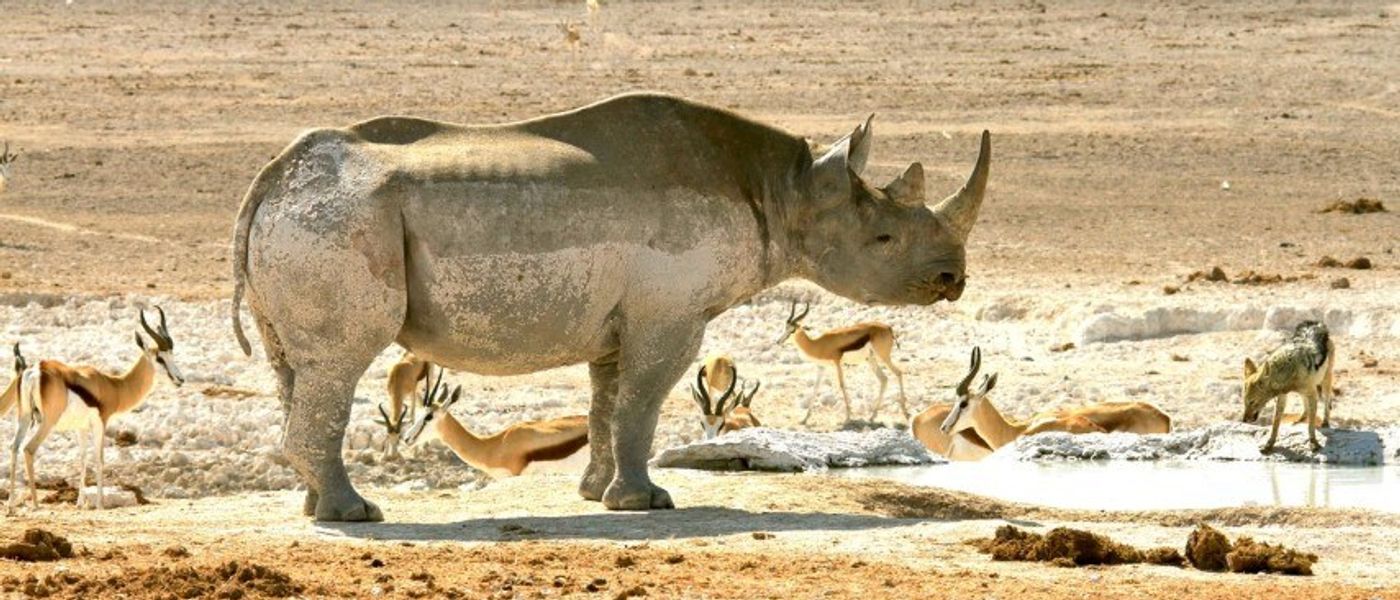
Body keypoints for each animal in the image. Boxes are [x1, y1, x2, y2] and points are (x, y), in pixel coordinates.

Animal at [230, 92, 989, 521]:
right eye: (884, 239)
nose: (952, 279)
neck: (789, 191)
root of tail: (274, 175)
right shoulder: (670, 315)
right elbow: (643, 403)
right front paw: (646, 504)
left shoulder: (618, 319)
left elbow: (606, 401)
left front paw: (596, 497)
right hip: (338, 220)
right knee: (340, 359)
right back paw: (356, 515)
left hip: (314, 218)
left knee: (295, 367)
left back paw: (315, 507)